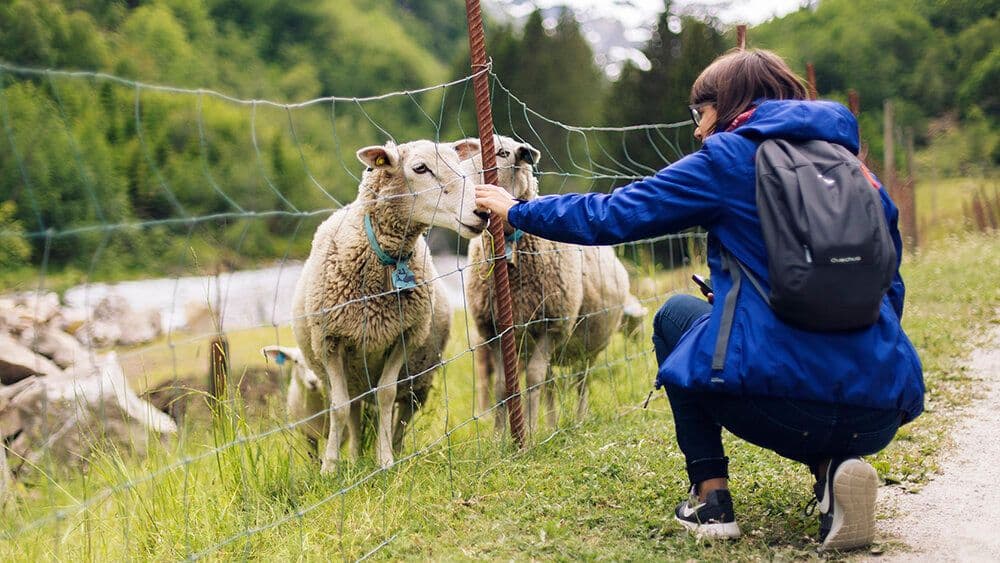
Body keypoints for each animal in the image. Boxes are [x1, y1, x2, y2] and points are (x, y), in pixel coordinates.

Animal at [292, 139, 484, 472]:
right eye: (420, 168)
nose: (481, 211)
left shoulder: (404, 337)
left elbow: (385, 394)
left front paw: (385, 461)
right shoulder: (330, 341)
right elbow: (339, 407)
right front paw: (330, 467)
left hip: (419, 379)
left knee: (401, 415)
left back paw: (395, 449)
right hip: (353, 373)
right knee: (353, 412)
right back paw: (355, 456)